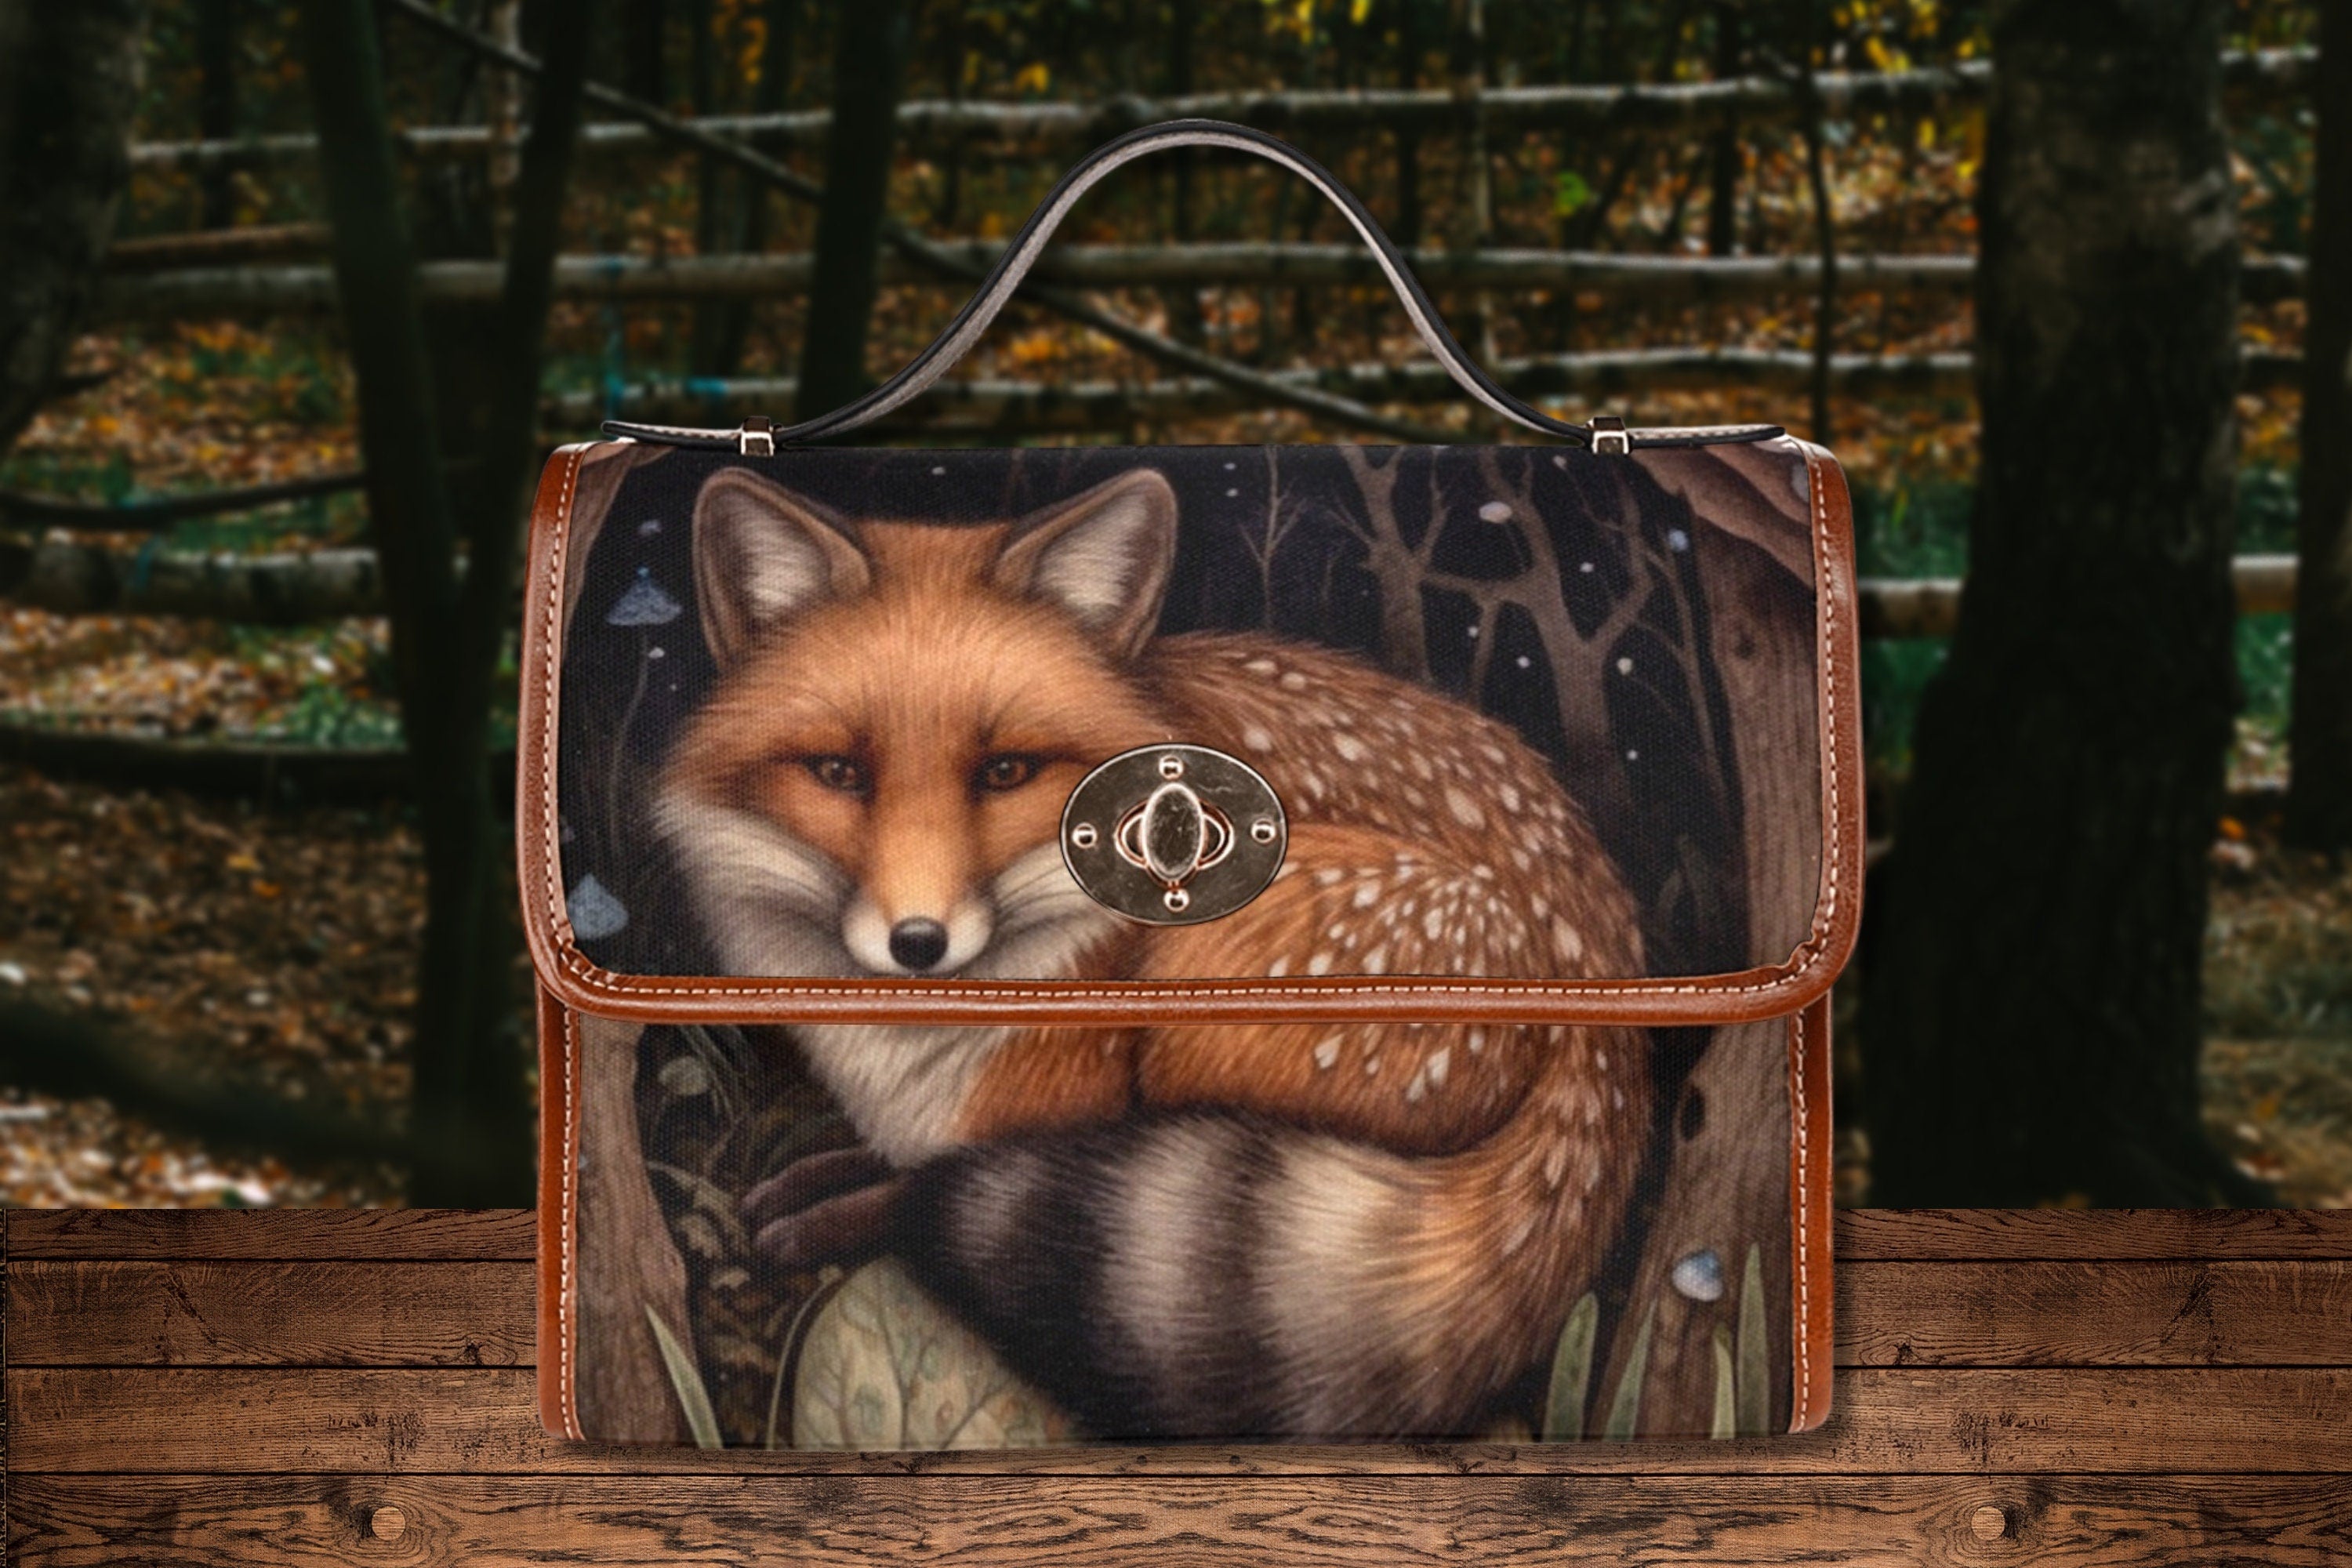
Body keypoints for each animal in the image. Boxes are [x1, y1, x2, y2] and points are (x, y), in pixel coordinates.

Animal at [653, 461, 1655, 1439]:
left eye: (1005, 772)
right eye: (840, 773)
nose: (918, 943)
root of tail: (1603, 948)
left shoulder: (1057, 1104)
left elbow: (934, 1187)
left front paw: (834, 1215)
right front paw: (815, 1179)